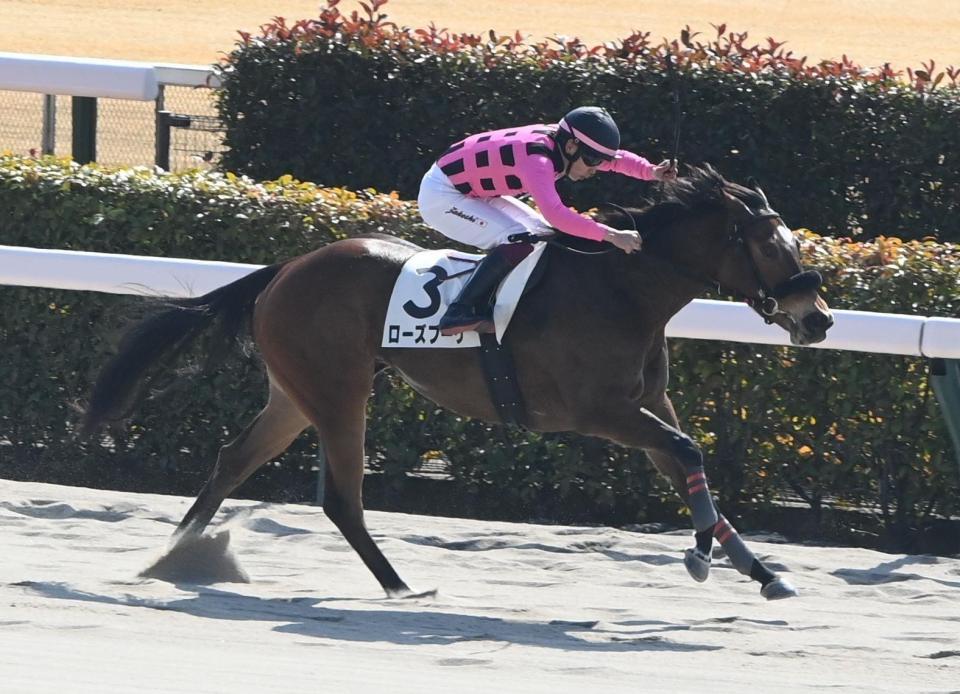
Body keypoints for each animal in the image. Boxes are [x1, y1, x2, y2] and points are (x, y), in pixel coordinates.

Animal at [82, 165, 834, 601]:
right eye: (771, 245)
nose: (819, 318)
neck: (622, 290)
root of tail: (285, 269)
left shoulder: (647, 405)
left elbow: (686, 464)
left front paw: (763, 573)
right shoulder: (598, 411)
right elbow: (688, 452)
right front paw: (701, 556)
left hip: (295, 394)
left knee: (231, 460)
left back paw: (175, 556)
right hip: (338, 392)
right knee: (341, 499)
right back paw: (399, 586)